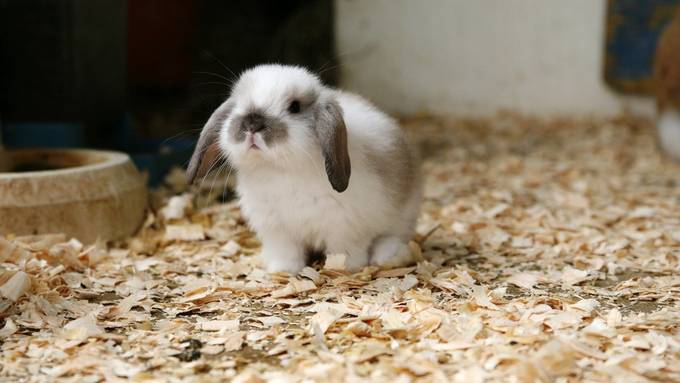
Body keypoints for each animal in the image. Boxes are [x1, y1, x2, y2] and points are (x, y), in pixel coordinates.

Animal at [186, 64, 420, 274]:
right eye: (238, 104)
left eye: (295, 107)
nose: (252, 124)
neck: (281, 170)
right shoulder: (277, 231)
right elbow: (287, 254)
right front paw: (282, 271)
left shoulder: (345, 229)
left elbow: (344, 252)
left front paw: (343, 269)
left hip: (402, 216)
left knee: (394, 236)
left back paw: (386, 256)